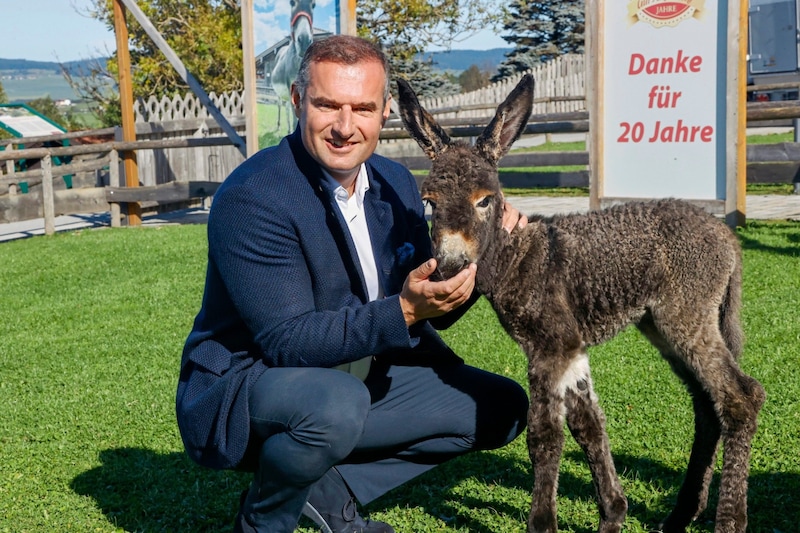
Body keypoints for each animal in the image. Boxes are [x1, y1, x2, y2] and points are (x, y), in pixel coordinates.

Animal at [396, 76, 764, 532]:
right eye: (429, 201)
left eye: (485, 199)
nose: (449, 265)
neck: (521, 258)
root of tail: (724, 233)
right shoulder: (570, 349)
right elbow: (588, 425)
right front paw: (613, 514)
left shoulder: (549, 349)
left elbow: (545, 436)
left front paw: (543, 523)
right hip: (662, 325)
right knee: (707, 404)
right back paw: (681, 515)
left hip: (685, 316)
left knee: (741, 397)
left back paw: (728, 520)